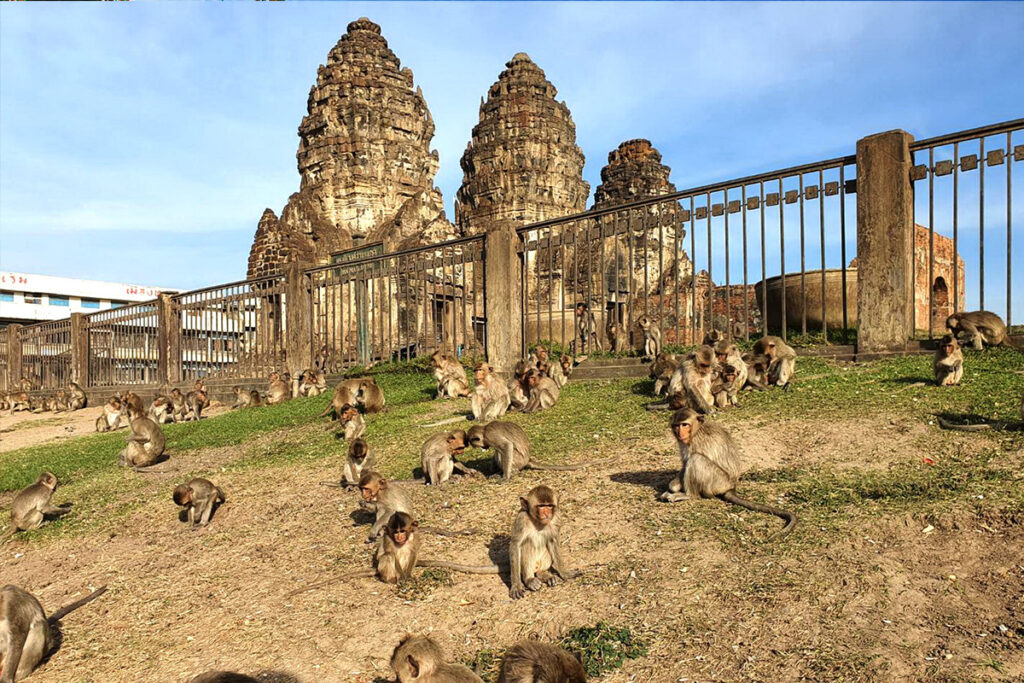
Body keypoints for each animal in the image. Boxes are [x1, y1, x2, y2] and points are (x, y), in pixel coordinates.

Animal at [662, 408, 796, 535]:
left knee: (697, 459)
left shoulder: (695, 442)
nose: (679, 432)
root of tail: (731, 486)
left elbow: (690, 460)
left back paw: (689, 495)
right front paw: (673, 486)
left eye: (684, 425)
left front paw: (677, 491)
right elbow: (684, 464)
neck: (696, 430)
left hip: (718, 482)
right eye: (676, 425)